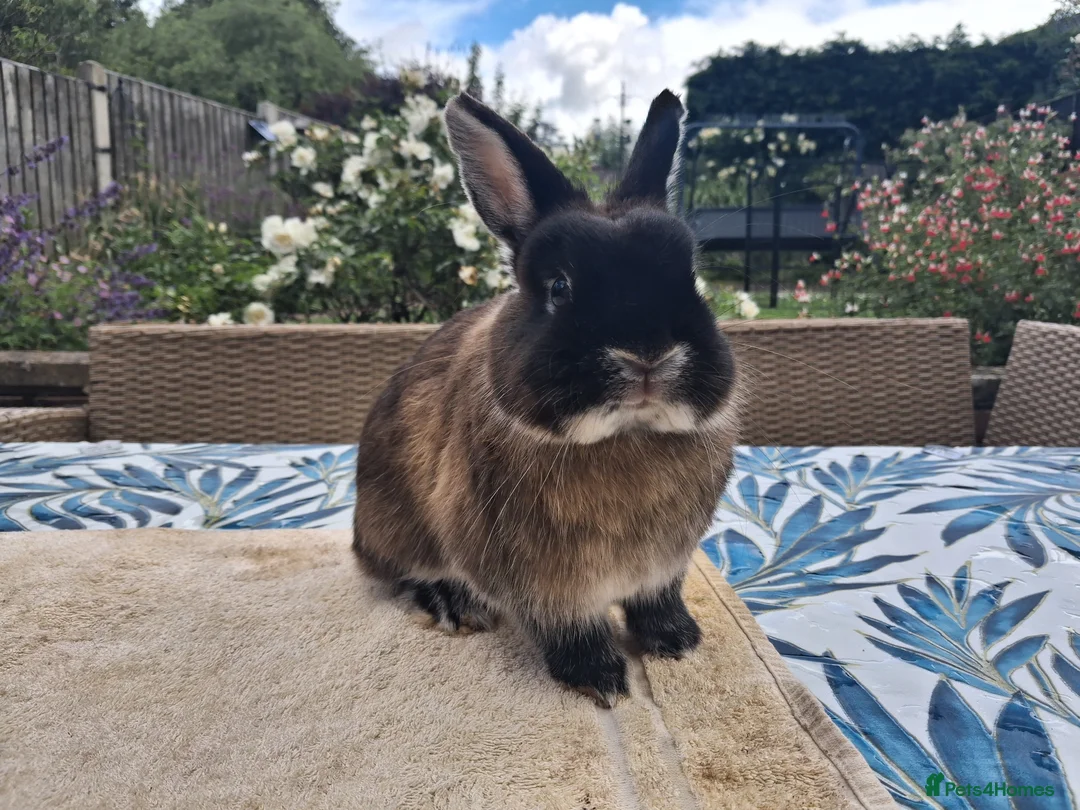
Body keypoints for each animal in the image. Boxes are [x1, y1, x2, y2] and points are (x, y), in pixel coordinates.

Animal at [352, 88, 740, 708]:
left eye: (693, 279)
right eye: (559, 287)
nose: (647, 354)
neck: (625, 437)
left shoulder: (664, 567)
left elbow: (658, 602)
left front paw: (678, 642)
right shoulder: (542, 584)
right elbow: (568, 627)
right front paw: (600, 678)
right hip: (395, 525)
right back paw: (452, 603)